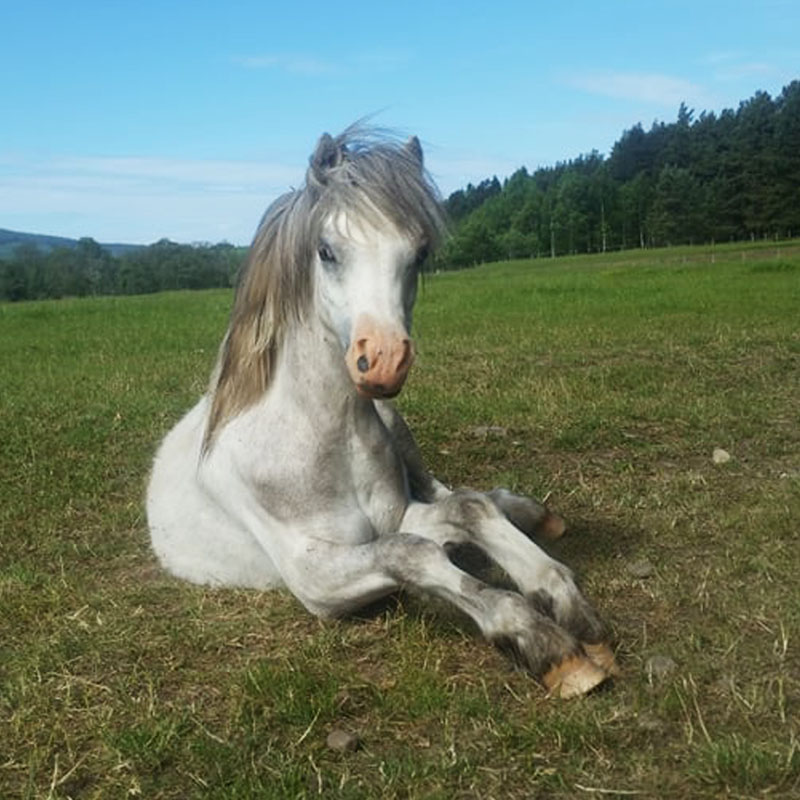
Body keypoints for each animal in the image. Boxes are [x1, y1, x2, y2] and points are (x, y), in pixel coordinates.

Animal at [147, 125, 616, 692]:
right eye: (326, 250)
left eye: (419, 253)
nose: (385, 361)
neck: (323, 440)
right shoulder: (314, 577)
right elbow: (412, 551)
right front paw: (541, 640)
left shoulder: (399, 515)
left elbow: (467, 509)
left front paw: (568, 603)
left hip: (402, 434)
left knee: (460, 493)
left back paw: (529, 511)